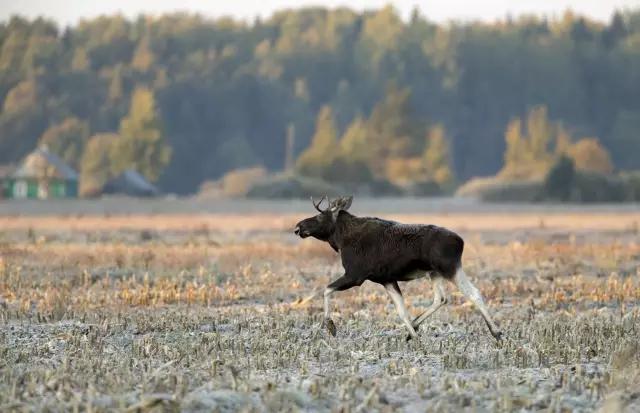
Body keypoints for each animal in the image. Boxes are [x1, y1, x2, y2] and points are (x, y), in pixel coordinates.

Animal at [296, 196, 504, 342]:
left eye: (319, 216)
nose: (298, 226)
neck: (340, 240)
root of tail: (461, 241)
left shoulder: (355, 275)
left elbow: (326, 289)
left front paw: (330, 325)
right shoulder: (386, 279)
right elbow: (401, 310)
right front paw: (415, 336)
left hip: (449, 267)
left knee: (474, 293)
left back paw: (497, 332)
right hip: (434, 272)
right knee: (441, 298)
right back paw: (414, 328)